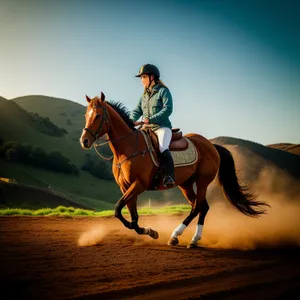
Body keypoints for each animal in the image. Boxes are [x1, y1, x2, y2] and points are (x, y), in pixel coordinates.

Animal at [78, 93, 268, 248]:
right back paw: (186, 238)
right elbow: (131, 219)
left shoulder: (139, 185)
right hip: (186, 184)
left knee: (198, 206)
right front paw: (150, 231)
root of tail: (211, 145)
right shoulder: (126, 187)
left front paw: (151, 231)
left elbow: (118, 209)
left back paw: (183, 237)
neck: (129, 147)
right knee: (201, 206)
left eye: (98, 115)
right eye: (86, 115)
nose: (84, 141)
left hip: (202, 181)